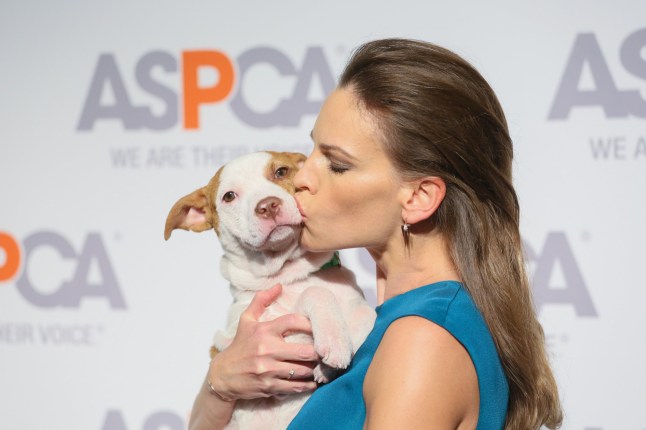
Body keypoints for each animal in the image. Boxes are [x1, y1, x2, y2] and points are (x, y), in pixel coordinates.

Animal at [165, 151, 378, 430]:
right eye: (229, 196)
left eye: (281, 172)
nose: (268, 206)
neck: (290, 275)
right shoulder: (261, 330)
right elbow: (315, 293)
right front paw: (334, 342)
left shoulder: (354, 303)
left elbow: (367, 315)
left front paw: (330, 361)